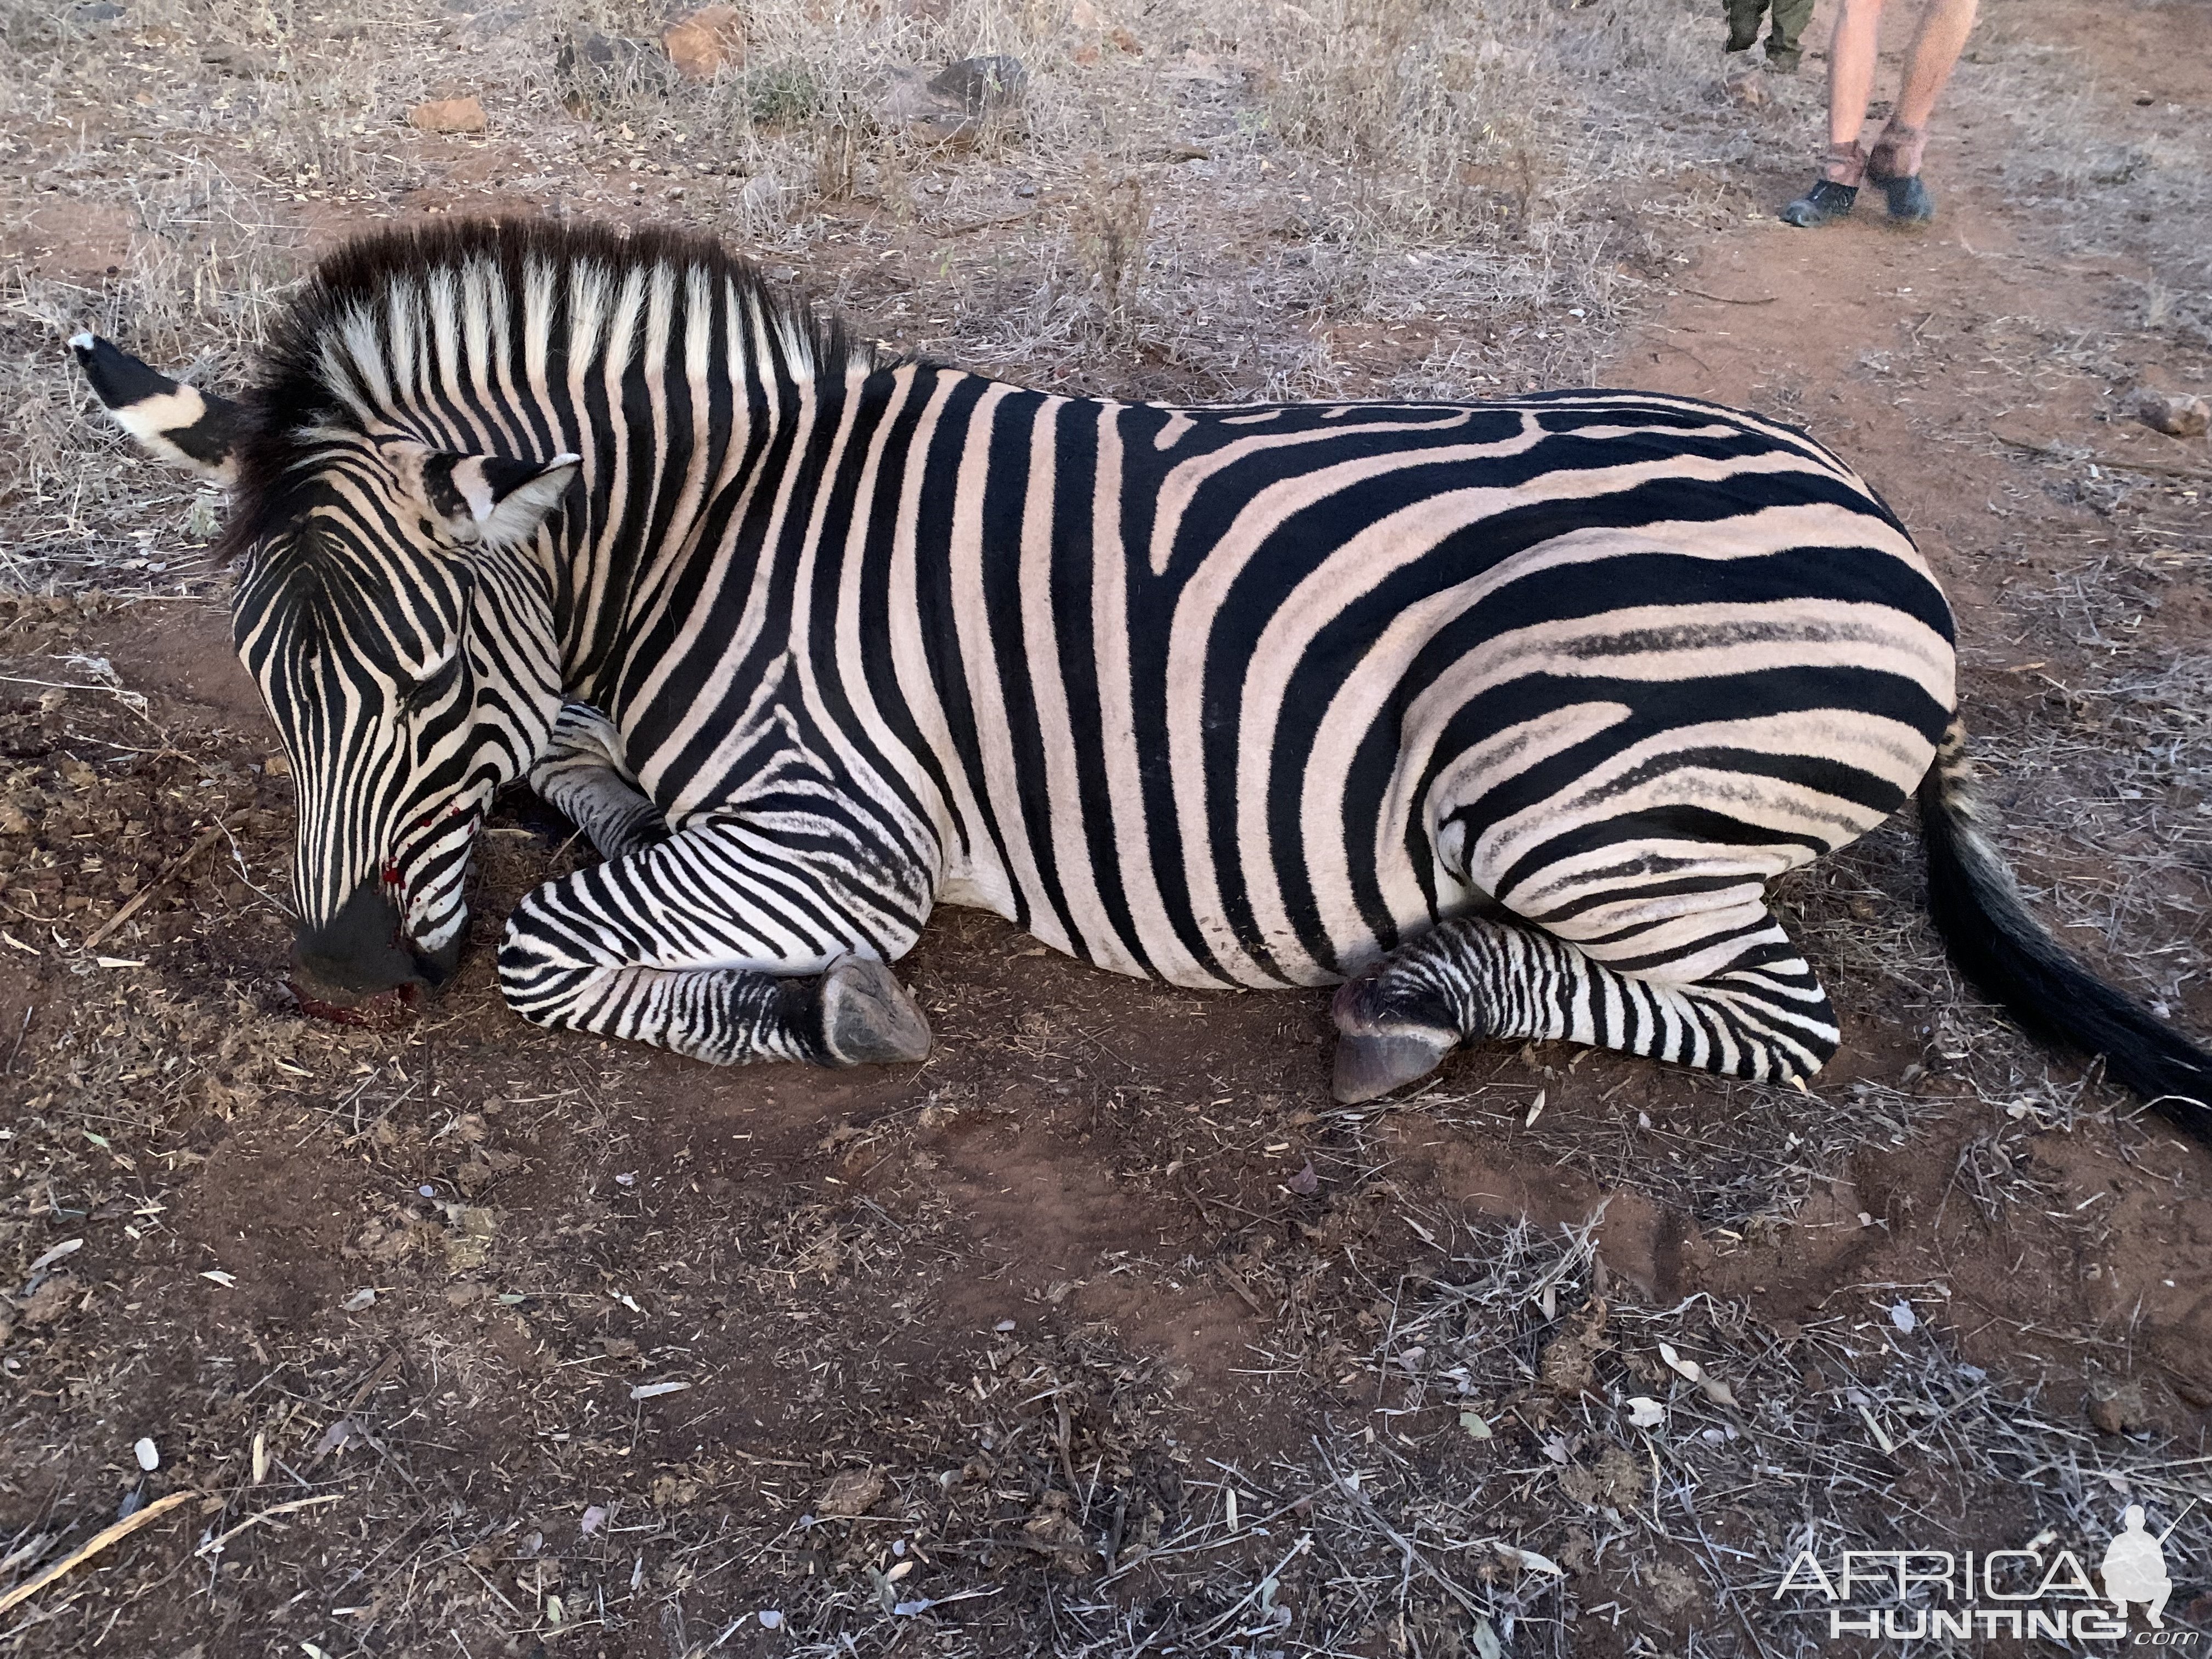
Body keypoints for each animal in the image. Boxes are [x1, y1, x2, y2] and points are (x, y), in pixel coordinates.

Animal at [69, 215, 2212, 1141]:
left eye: (428, 675)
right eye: (270, 683)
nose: (337, 986)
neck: (712, 533)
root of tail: (1884, 526)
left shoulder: (837, 826)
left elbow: (553, 942)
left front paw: (825, 1008)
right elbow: (577, 809)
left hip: (1577, 788)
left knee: (1768, 1013)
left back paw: (1415, 994)